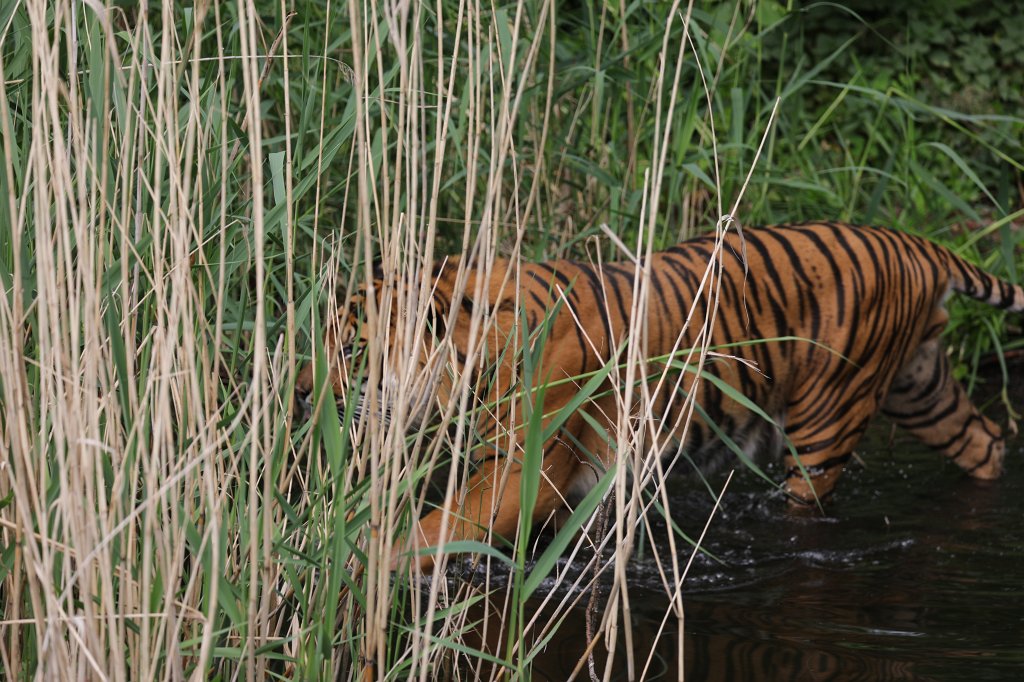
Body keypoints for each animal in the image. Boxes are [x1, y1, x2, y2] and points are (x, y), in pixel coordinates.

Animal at [295, 222, 1023, 572]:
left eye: (352, 351)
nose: (302, 395)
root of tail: (918, 244)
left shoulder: (518, 474)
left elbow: (436, 528)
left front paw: (358, 564)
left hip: (826, 426)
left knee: (811, 501)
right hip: (918, 388)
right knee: (987, 443)